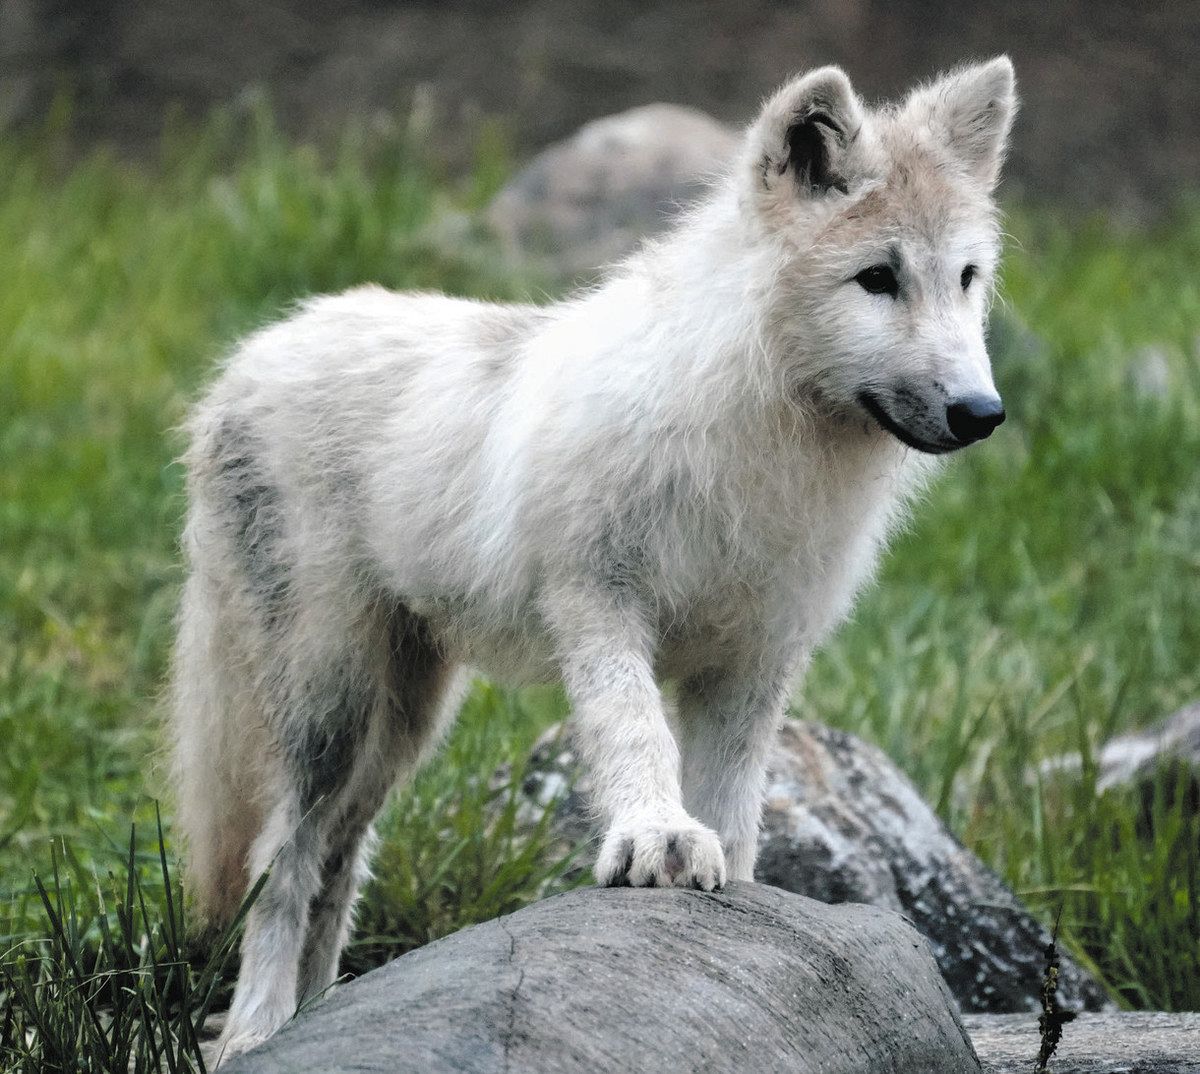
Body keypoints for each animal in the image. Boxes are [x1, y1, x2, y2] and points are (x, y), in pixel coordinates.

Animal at [171, 60, 1012, 1056]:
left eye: (965, 279)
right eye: (877, 279)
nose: (982, 413)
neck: (757, 444)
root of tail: (252, 354)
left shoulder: (754, 661)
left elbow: (735, 805)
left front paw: (733, 884)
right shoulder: (597, 603)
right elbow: (633, 730)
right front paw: (655, 842)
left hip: (405, 726)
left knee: (339, 861)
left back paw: (322, 1015)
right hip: (330, 708)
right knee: (283, 862)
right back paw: (258, 1034)